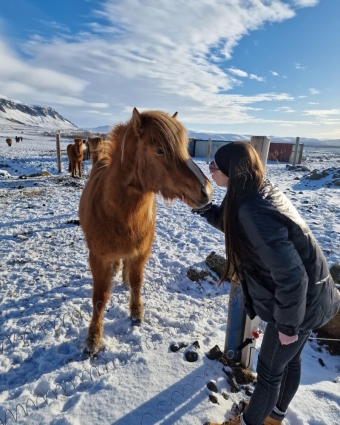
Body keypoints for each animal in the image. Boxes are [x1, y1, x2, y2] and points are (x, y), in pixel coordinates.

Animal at [79, 107, 212, 352]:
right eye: (160, 150)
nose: (206, 191)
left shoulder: (141, 253)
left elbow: (136, 283)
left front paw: (136, 314)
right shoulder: (98, 258)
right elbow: (100, 298)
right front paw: (93, 339)